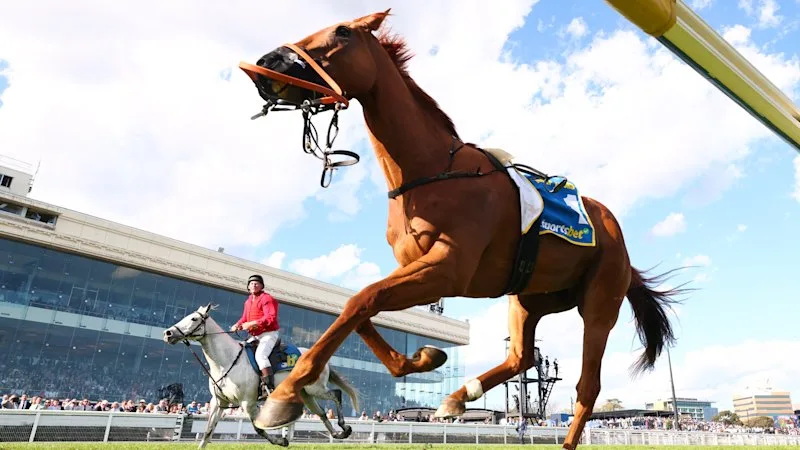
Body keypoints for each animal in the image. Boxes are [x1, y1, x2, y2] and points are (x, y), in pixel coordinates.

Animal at [163, 303, 360, 448]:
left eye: (194, 318)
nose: (168, 333)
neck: (226, 361)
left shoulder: (248, 402)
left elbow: (258, 428)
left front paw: (281, 440)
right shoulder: (219, 402)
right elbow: (208, 431)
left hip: (315, 388)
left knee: (336, 395)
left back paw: (344, 426)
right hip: (306, 394)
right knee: (322, 413)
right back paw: (338, 433)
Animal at [237, 10, 686, 449]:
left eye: (343, 31)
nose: (267, 62)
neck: (431, 170)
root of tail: (620, 241)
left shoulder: (448, 269)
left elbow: (361, 300)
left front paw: (283, 396)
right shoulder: (423, 272)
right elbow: (360, 305)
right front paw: (423, 358)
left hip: (599, 301)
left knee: (586, 386)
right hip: (528, 298)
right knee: (522, 357)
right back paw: (458, 396)